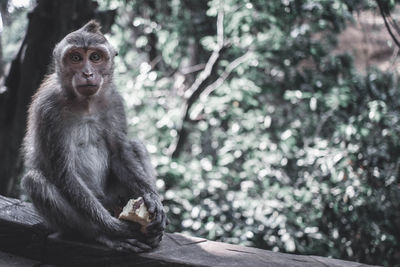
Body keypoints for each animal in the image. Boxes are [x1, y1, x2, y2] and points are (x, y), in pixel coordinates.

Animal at [20, 21, 167, 253]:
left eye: (95, 57)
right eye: (76, 58)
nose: (88, 73)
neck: (85, 103)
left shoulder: (115, 101)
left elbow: (120, 152)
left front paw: (152, 199)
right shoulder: (48, 109)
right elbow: (65, 174)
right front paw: (115, 228)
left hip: (113, 196)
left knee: (136, 145)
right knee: (35, 181)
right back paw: (102, 235)